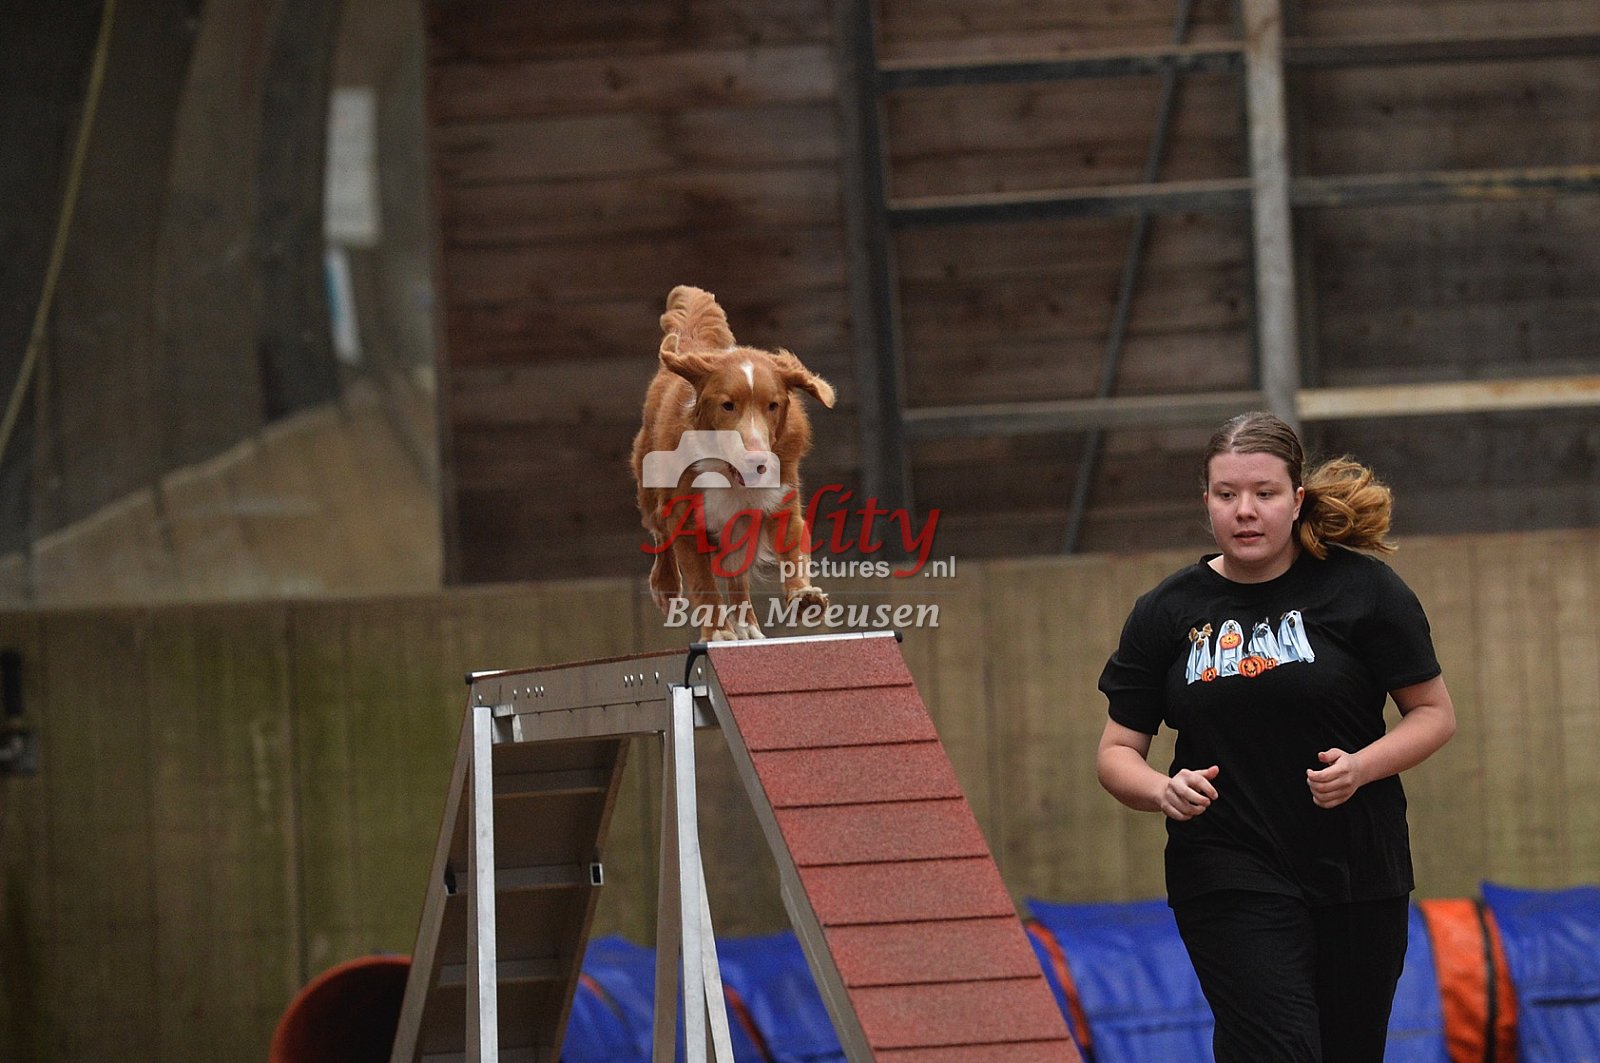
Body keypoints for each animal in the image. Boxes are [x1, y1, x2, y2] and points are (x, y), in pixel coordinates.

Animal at [631, 285, 834, 640]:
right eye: (728, 405)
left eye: (772, 405)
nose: (757, 459)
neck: (728, 472)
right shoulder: (685, 518)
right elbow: (702, 579)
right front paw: (717, 632)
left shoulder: (781, 502)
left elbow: (793, 550)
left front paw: (803, 596)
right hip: (648, 483)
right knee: (659, 533)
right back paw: (666, 585)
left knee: (736, 574)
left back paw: (747, 626)